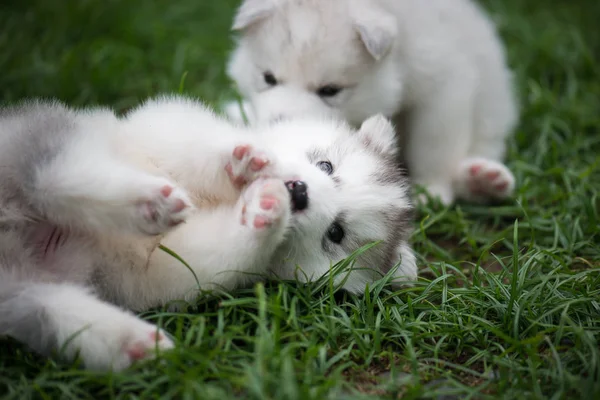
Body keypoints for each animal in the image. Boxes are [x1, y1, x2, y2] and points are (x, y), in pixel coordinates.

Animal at [0, 95, 414, 370]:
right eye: (326, 166)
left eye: (336, 232)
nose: (297, 192)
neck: (210, 199)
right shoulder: (158, 126)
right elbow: (197, 146)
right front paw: (243, 163)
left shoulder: (162, 266)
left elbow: (218, 253)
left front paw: (263, 213)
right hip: (46, 137)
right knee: (55, 175)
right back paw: (149, 201)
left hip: (23, 285)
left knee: (47, 304)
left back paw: (132, 341)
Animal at [225, 0, 520, 206]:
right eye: (268, 78)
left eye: (330, 90)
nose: (284, 128)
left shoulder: (443, 86)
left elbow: (434, 145)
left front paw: (431, 190)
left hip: (492, 114)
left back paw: (482, 180)